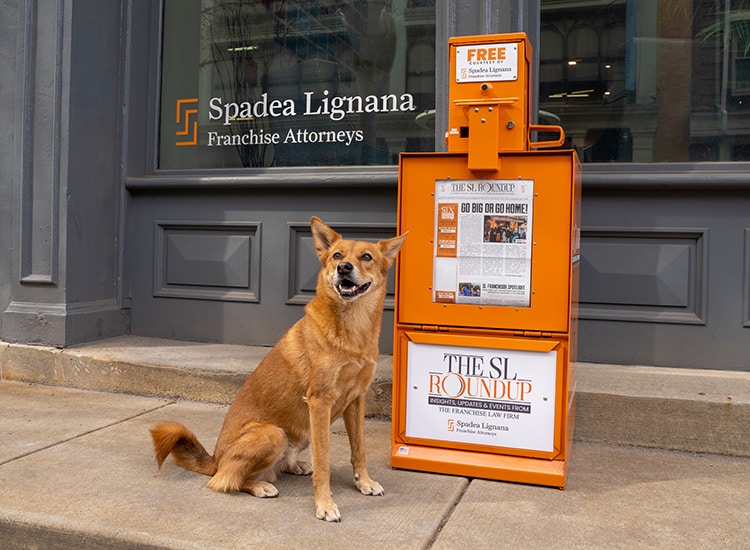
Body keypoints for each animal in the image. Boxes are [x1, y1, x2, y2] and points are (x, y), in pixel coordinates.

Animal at [151, 218, 406, 524]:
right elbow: (324, 462)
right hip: (273, 434)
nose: (344, 268)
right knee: (224, 480)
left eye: (366, 257)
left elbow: (359, 449)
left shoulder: (356, 400)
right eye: (337, 255)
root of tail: (215, 458)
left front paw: (364, 482)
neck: (352, 327)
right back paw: (259, 485)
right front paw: (324, 504)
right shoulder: (320, 402)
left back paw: (294, 465)